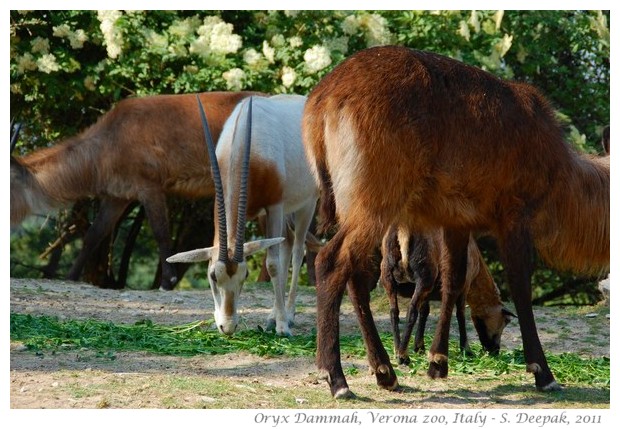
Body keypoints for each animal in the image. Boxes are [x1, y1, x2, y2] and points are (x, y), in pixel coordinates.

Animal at [12, 91, 260, 290]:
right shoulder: (117, 196)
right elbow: (94, 234)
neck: (107, 144)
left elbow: (161, 232)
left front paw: (167, 281)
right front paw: (71, 277)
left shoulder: (150, 187)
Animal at [166, 93, 318, 334]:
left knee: (296, 251)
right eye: (212, 276)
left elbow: (272, 264)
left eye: (244, 275)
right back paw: (272, 316)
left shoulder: (275, 206)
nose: (227, 327)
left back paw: (289, 315)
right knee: (285, 244)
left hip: (306, 203)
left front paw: (283, 326)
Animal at [380, 226, 516, 362]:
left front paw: (419, 348)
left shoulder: (428, 291)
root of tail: (402, 229)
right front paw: (466, 350)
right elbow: (460, 315)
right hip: (424, 273)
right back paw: (403, 356)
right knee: (411, 311)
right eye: (506, 321)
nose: (495, 351)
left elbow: (424, 311)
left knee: (394, 312)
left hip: (388, 273)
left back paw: (397, 350)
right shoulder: (464, 285)